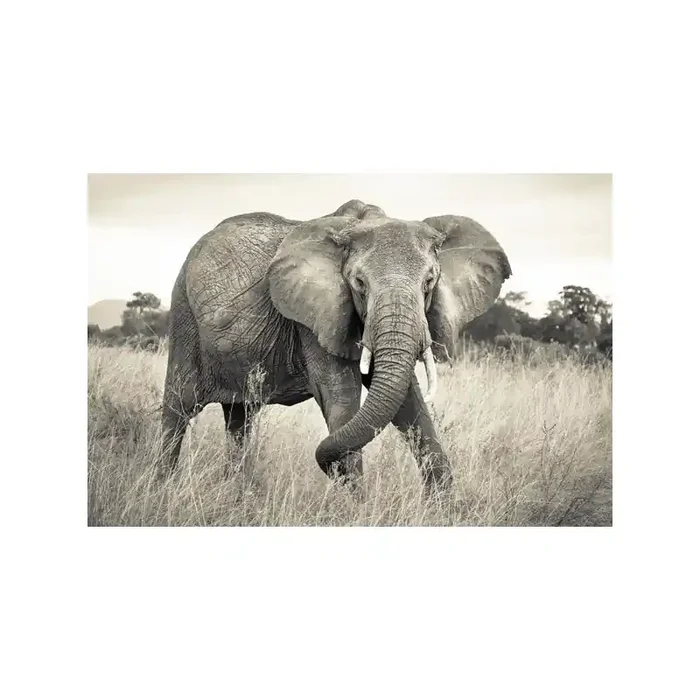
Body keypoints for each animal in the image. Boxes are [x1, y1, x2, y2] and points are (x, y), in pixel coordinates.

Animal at [159, 199, 511, 491]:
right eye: (358, 283)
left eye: (429, 282)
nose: (328, 469)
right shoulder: (315, 320)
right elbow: (341, 396)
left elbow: (409, 402)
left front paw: (444, 508)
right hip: (183, 315)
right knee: (178, 409)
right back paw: (161, 487)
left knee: (239, 417)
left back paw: (237, 494)